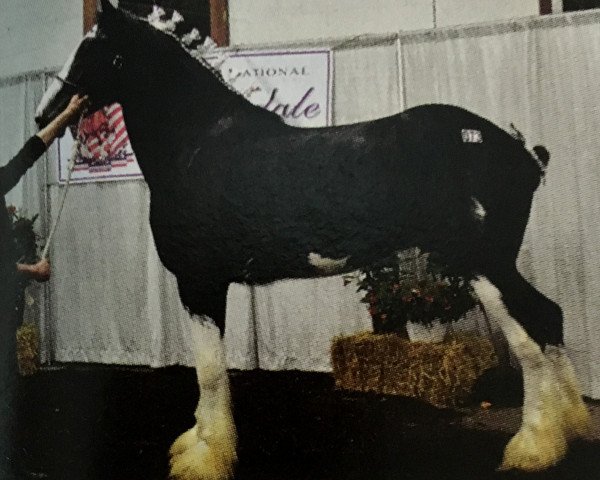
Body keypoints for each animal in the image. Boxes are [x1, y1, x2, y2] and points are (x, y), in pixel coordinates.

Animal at [35, 1, 588, 478]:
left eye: (91, 49)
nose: (45, 115)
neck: (196, 144)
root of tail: (520, 152)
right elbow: (210, 369)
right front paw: (197, 443)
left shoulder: (200, 282)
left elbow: (209, 370)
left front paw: (206, 457)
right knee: (549, 317)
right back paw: (572, 429)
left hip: (482, 264)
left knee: (530, 336)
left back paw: (532, 447)